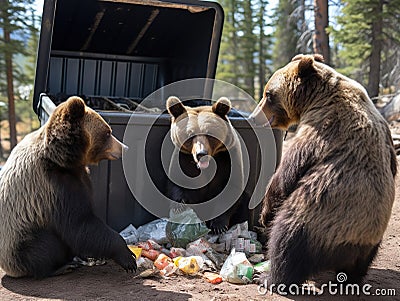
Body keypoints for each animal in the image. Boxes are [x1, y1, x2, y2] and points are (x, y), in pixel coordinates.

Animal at [0, 95, 138, 276]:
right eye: (107, 133)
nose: (125, 148)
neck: (62, 160)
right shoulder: (55, 185)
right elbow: (79, 224)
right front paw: (128, 257)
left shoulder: (79, 176)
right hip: (18, 240)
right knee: (42, 247)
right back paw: (61, 267)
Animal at [165, 97, 247, 233]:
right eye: (190, 134)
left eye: (209, 133)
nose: (201, 153)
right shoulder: (183, 158)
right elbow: (179, 182)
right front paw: (178, 206)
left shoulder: (228, 158)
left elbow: (231, 188)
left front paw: (218, 225)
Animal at [252, 54, 396, 288]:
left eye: (268, 94)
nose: (255, 116)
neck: (316, 98)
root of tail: (351, 247)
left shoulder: (323, 127)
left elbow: (286, 176)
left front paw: (265, 214)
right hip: (372, 238)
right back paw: (351, 277)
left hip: (318, 219)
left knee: (287, 239)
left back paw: (268, 276)